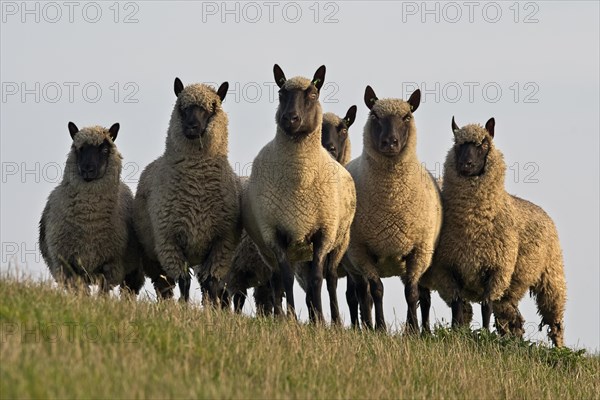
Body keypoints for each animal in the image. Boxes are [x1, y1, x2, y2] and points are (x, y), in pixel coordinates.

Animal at [38, 122, 145, 294]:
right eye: (79, 148)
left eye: (104, 150)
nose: (88, 170)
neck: (89, 220)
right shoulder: (68, 266)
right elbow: (82, 294)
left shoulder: (111, 266)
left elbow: (103, 294)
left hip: (133, 271)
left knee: (128, 292)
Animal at [134, 77, 241, 304]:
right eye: (182, 107)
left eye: (212, 107)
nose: (192, 127)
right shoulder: (169, 241)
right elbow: (184, 281)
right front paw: (183, 307)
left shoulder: (222, 243)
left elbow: (211, 283)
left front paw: (211, 310)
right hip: (153, 255)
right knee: (164, 287)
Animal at [243, 65, 358, 322]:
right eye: (281, 93)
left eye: (313, 94)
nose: (290, 118)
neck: (299, 179)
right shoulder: (274, 234)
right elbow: (286, 279)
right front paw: (291, 319)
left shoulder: (324, 233)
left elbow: (317, 279)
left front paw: (321, 321)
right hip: (270, 250)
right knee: (276, 279)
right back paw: (279, 315)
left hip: (340, 241)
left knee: (331, 278)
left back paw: (334, 320)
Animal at [340, 86, 442, 332]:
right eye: (375, 116)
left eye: (406, 116)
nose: (390, 142)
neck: (391, 202)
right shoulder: (361, 251)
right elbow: (377, 291)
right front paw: (380, 327)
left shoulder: (419, 251)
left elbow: (412, 293)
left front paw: (412, 330)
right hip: (352, 264)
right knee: (362, 293)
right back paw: (366, 326)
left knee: (421, 296)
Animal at [428, 116, 564, 346]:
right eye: (458, 144)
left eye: (484, 144)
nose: (466, 165)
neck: (472, 225)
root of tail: (543, 212)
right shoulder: (449, 269)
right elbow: (458, 307)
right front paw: (456, 333)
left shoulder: (496, 270)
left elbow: (486, 307)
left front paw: (483, 335)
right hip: (511, 290)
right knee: (514, 320)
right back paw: (515, 344)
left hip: (551, 277)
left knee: (555, 322)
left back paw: (559, 348)